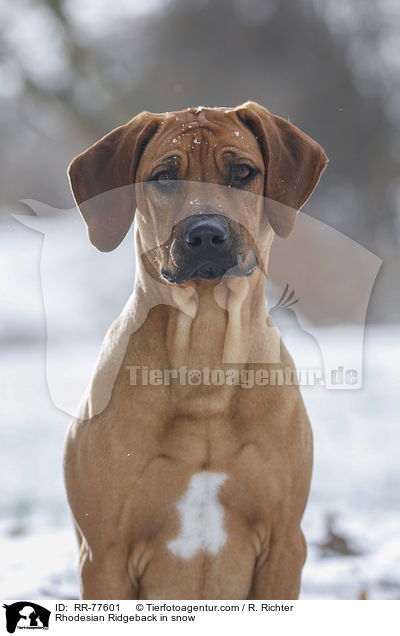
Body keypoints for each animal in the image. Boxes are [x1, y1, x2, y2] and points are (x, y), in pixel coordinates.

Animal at [64, 102, 326, 600]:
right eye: (165, 177)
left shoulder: (284, 544)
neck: (203, 358)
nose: (206, 234)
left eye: (242, 172)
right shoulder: (104, 555)